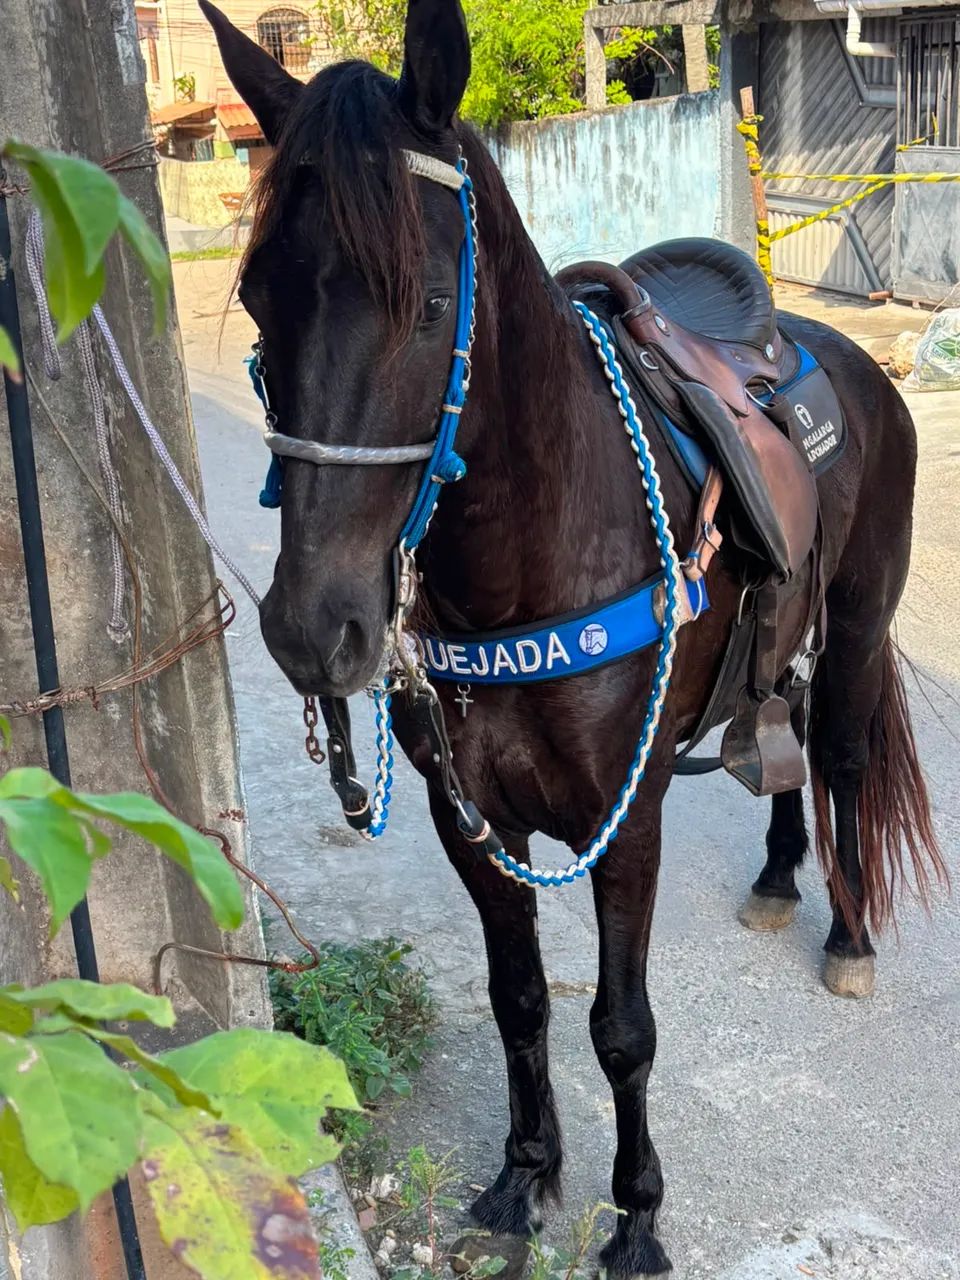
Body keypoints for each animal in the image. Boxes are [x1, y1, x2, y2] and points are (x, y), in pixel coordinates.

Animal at [201, 1, 944, 1273]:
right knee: (783, 728)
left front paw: (636, 1215)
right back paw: (778, 874)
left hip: (855, 622)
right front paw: (524, 1172)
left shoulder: (624, 820)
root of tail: (843, 354)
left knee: (842, 755)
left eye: (428, 302)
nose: (312, 625)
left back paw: (847, 933)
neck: (524, 564)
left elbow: (621, 1025)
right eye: (259, 299)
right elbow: (522, 1000)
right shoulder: (468, 817)